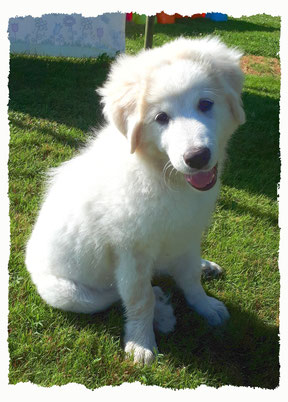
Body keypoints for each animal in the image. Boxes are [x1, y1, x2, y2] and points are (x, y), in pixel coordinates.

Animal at [25, 37, 245, 364]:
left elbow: (190, 277)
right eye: (161, 118)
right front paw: (141, 343)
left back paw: (203, 268)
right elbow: (139, 298)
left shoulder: (187, 233)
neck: (164, 177)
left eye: (205, 105)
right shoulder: (132, 252)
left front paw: (205, 305)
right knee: (114, 294)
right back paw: (162, 309)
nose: (197, 157)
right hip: (69, 294)